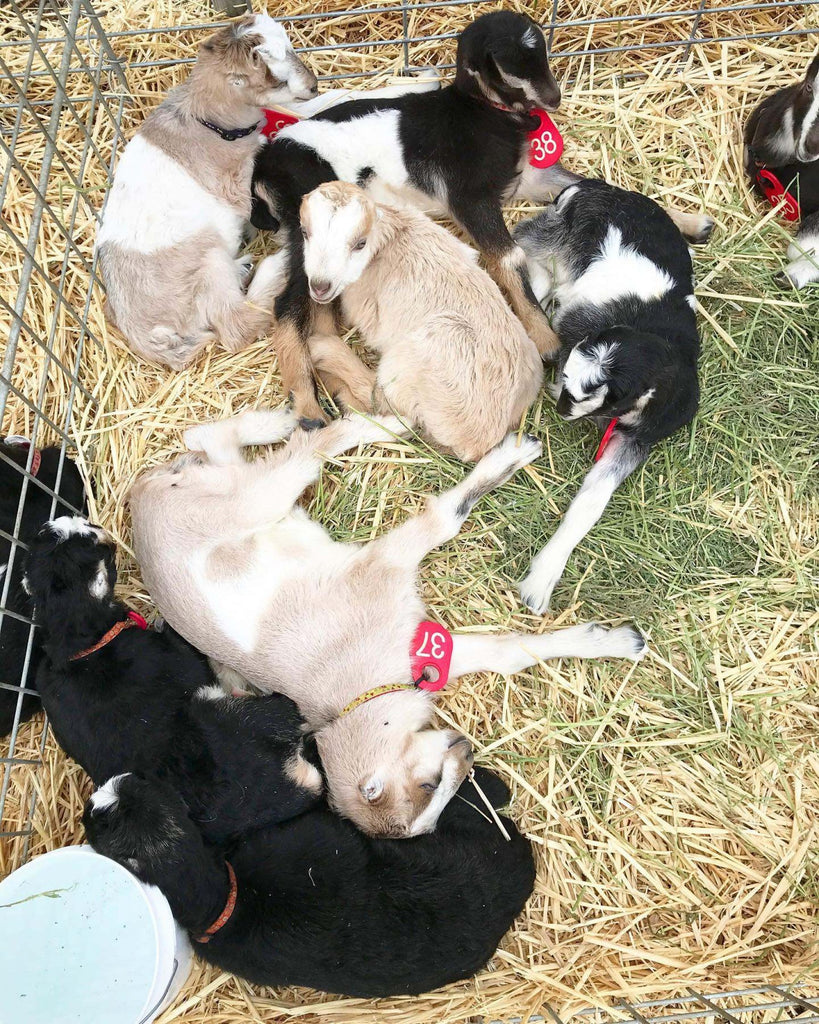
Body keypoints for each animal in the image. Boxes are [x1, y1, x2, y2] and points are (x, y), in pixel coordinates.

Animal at [95, 16, 313, 370]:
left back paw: (244, 268)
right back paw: (273, 267)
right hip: (208, 262)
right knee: (234, 326)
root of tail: (145, 333)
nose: (314, 86)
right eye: (278, 79)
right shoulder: (235, 183)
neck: (205, 120)